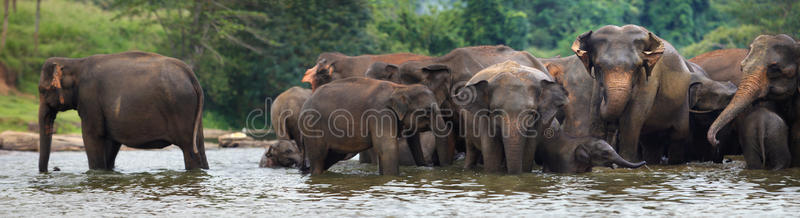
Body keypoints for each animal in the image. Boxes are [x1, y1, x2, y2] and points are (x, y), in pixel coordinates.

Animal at [38, 51, 208, 172]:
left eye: (43, 90)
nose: (53, 170)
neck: (75, 62)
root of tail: (191, 75)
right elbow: (111, 142)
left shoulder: (89, 98)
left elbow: (93, 135)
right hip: (194, 112)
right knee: (199, 145)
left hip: (180, 107)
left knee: (189, 149)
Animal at [302, 77, 450, 175]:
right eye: (428, 111)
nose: (430, 165)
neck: (400, 88)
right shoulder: (380, 113)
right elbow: (387, 148)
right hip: (313, 128)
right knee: (318, 158)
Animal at [568, 25, 692, 164]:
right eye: (599, 66)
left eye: (637, 66)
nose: (612, 125)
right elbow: (595, 116)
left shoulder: (649, 81)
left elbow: (632, 118)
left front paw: (626, 160)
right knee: (651, 143)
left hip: (682, 103)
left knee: (678, 137)